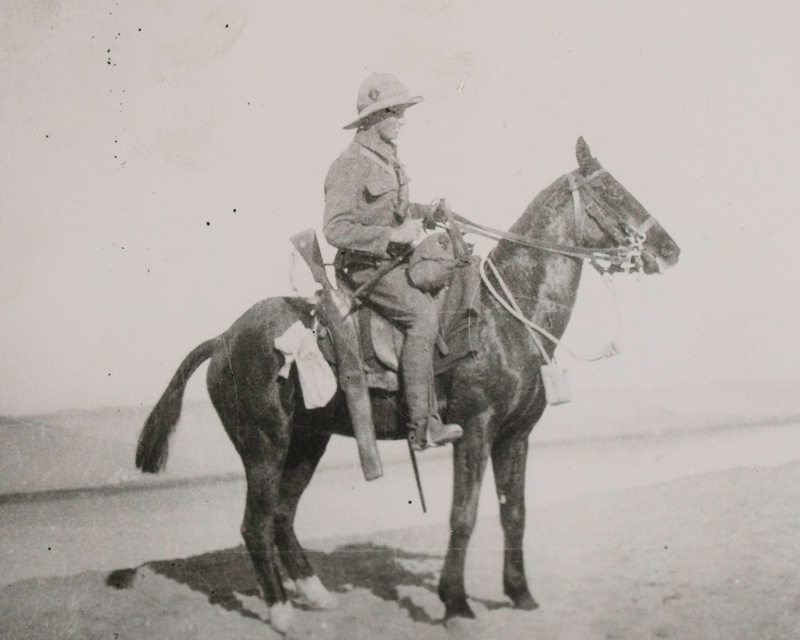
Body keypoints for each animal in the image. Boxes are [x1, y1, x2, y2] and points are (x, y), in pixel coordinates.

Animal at [136, 138, 680, 632]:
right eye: (610, 190)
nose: (671, 250)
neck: (505, 318)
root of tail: (224, 339)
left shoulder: (516, 437)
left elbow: (515, 513)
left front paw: (520, 594)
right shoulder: (475, 431)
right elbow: (464, 515)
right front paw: (455, 604)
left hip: (308, 441)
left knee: (282, 517)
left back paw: (314, 593)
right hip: (264, 445)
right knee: (255, 524)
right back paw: (281, 611)